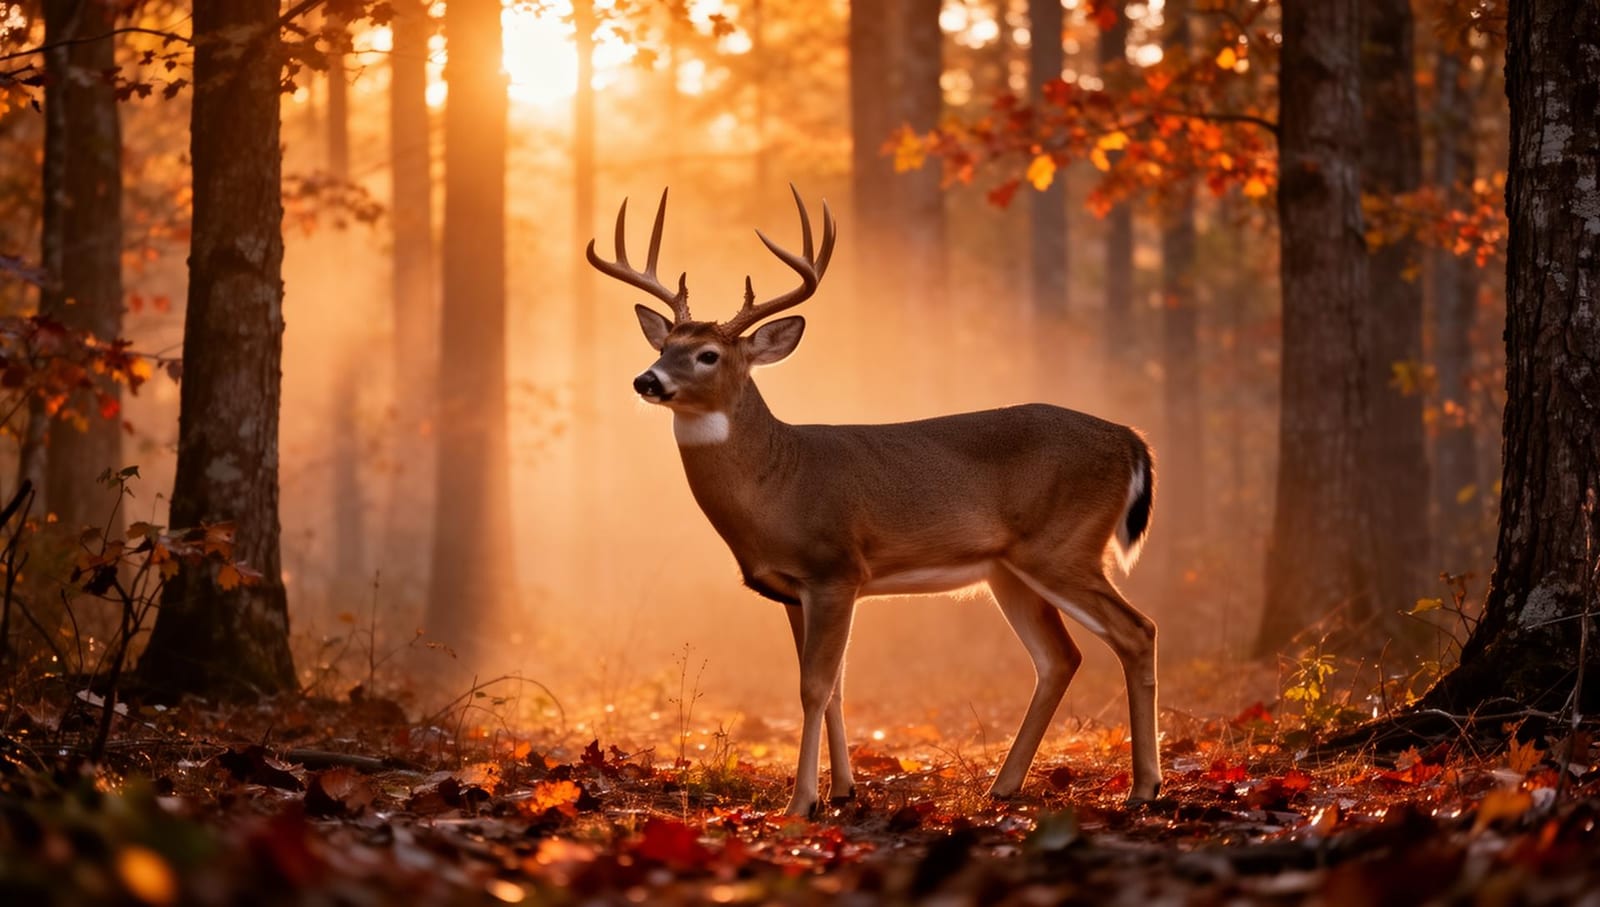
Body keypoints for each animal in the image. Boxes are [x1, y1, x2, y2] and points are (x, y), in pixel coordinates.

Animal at [587, 186, 1160, 817]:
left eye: (708, 354)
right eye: (666, 344)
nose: (647, 380)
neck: (777, 482)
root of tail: (1131, 440)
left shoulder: (835, 569)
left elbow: (814, 686)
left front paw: (800, 804)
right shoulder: (794, 590)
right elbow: (835, 686)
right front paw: (843, 791)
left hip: (1064, 546)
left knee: (1137, 632)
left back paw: (1143, 788)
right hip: (1009, 570)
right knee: (1059, 658)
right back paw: (1003, 786)